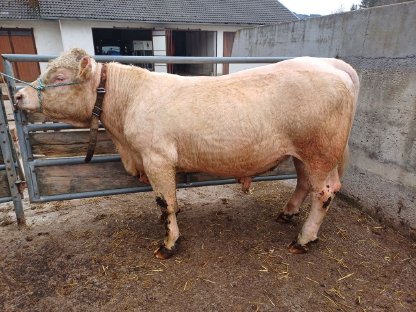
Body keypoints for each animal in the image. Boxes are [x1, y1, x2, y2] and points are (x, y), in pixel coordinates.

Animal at [14, 48, 360, 258]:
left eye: (59, 77)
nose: (17, 95)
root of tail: (329, 63)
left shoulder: (156, 158)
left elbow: (164, 200)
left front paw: (169, 242)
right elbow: (168, 200)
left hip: (319, 151)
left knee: (325, 192)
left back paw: (303, 239)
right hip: (305, 153)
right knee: (304, 184)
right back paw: (286, 214)